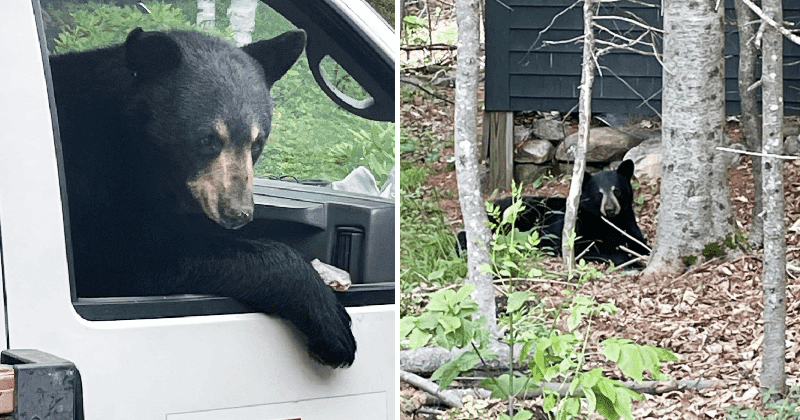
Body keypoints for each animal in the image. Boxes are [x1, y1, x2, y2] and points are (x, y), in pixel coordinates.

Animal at [49, 28, 356, 367]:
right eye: (207, 139)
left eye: (257, 142)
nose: (238, 213)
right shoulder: (90, 183)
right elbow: (137, 256)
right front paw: (333, 323)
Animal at [458, 160, 649, 266]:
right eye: (598, 194)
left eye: (617, 191)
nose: (610, 210)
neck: (610, 223)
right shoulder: (579, 230)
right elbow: (587, 248)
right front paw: (630, 260)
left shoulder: (627, 224)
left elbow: (640, 243)